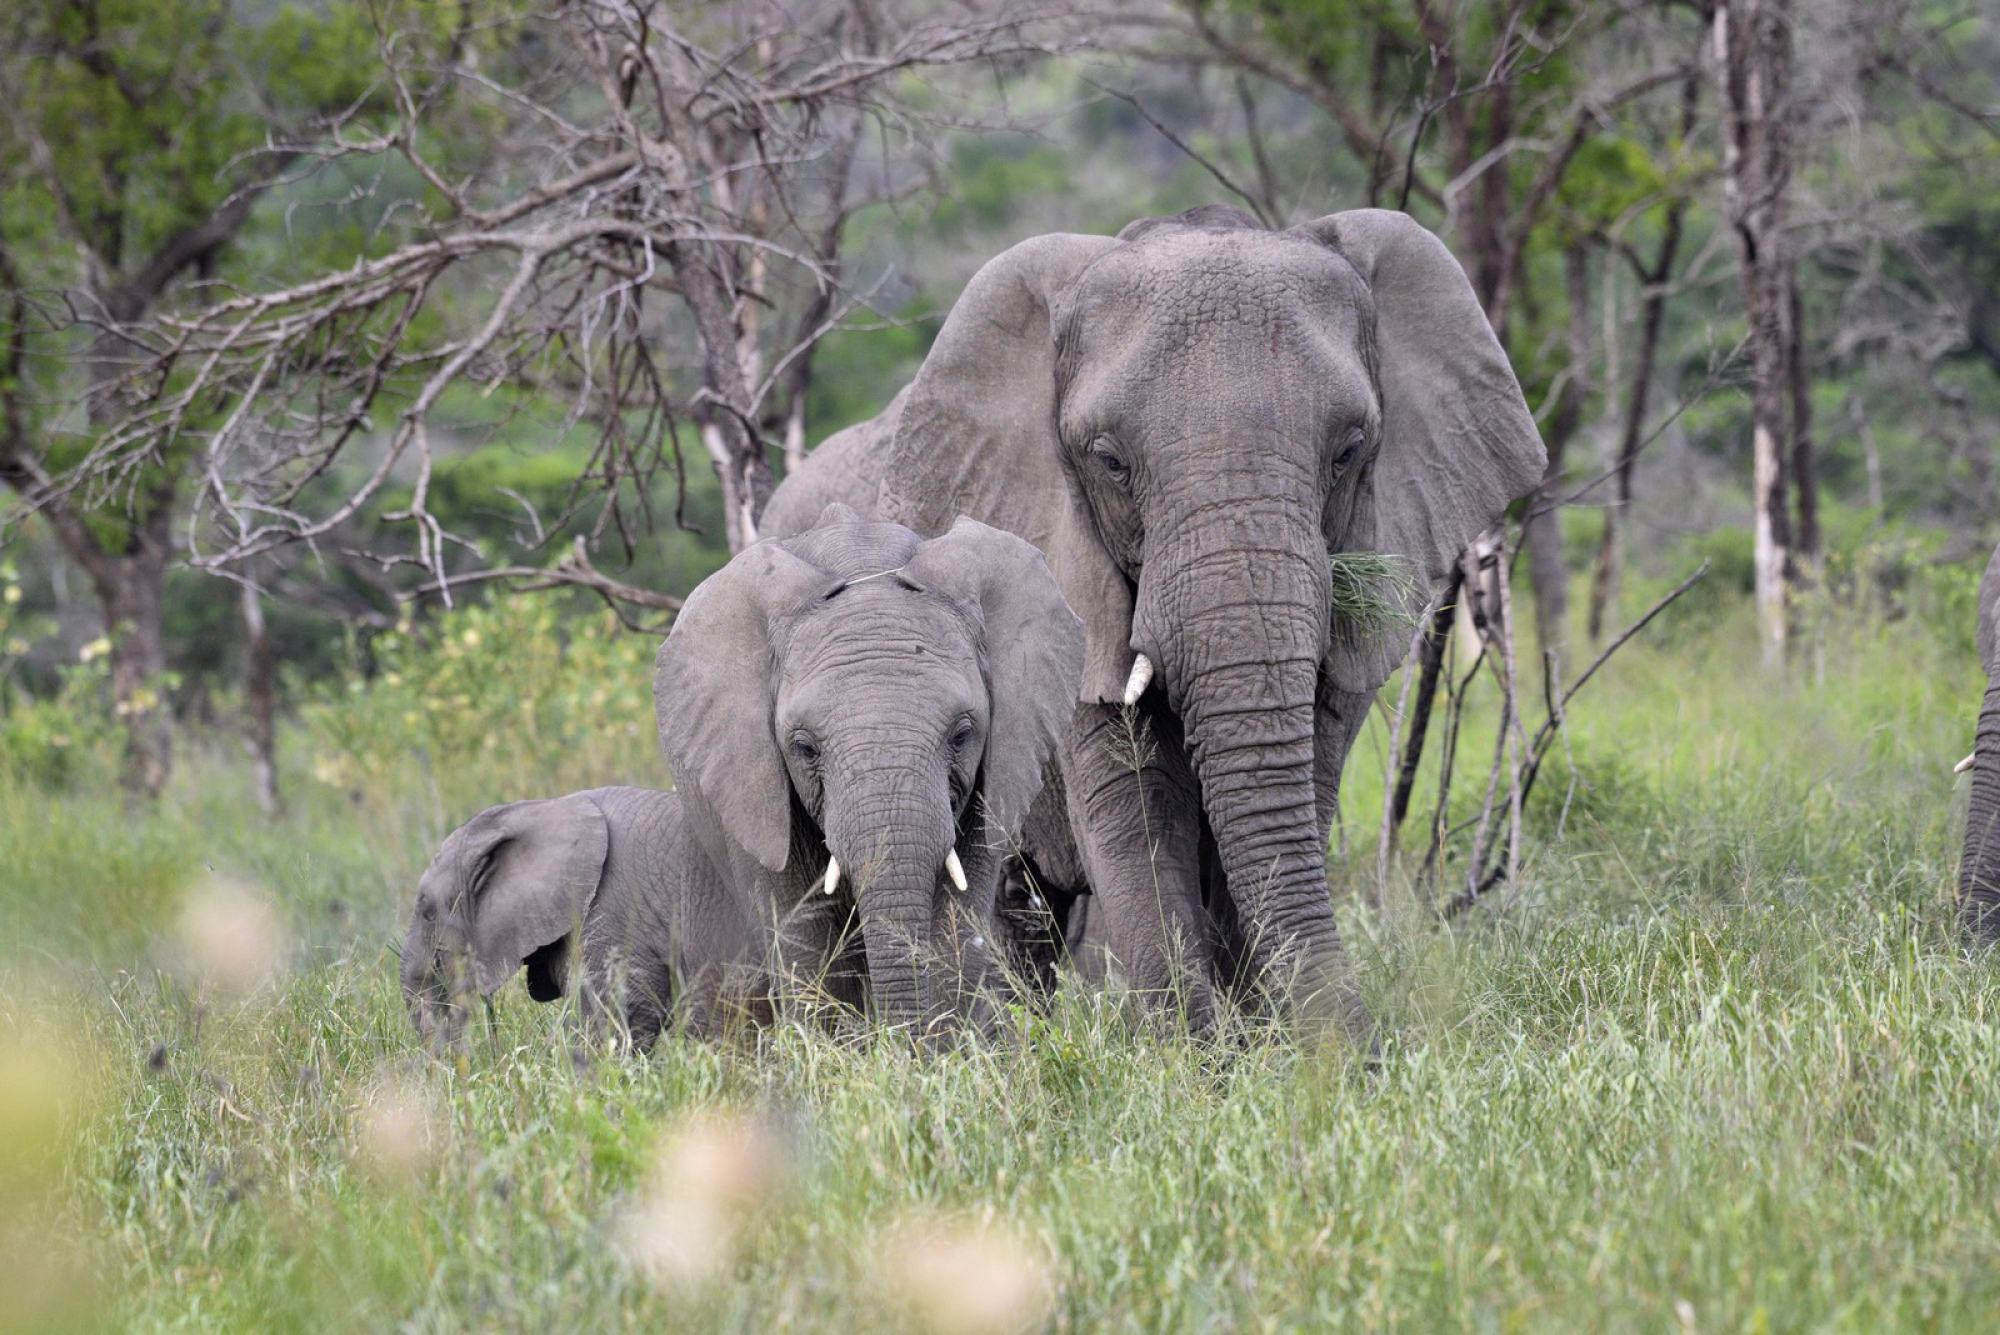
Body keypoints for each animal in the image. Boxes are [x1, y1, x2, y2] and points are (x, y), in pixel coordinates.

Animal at [764, 203, 1544, 1039]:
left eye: (1349, 450)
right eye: (1108, 461)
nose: (1371, 1053)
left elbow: (1296, 784)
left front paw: (1274, 1049)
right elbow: (1137, 808)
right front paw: (1198, 1056)